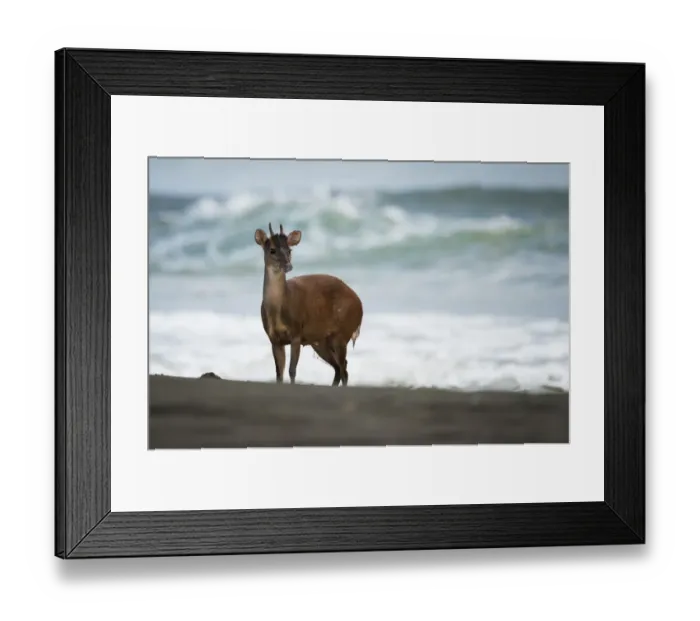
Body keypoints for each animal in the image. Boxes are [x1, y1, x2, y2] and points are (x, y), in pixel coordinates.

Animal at [254, 223, 363, 387]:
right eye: (272, 250)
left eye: (289, 250)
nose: (288, 266)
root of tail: (360, 304)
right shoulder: (274, 339)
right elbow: (279, 374)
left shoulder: (296, 332)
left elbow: (292, 370)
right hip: (321, 341)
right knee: (339, 368)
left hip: (343, 332)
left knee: (344, 368)